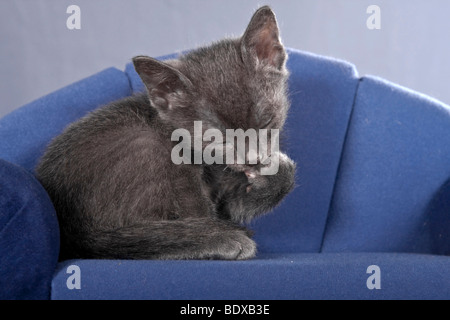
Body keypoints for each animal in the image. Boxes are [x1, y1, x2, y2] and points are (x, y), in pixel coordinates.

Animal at [35, 5, 296, 260]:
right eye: (218, 139)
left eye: (266, 121)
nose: (253, 160)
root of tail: (70, 232)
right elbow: (200, 212)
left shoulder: (227, 198)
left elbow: (236, 205)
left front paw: (273, 172)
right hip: (146, 144)